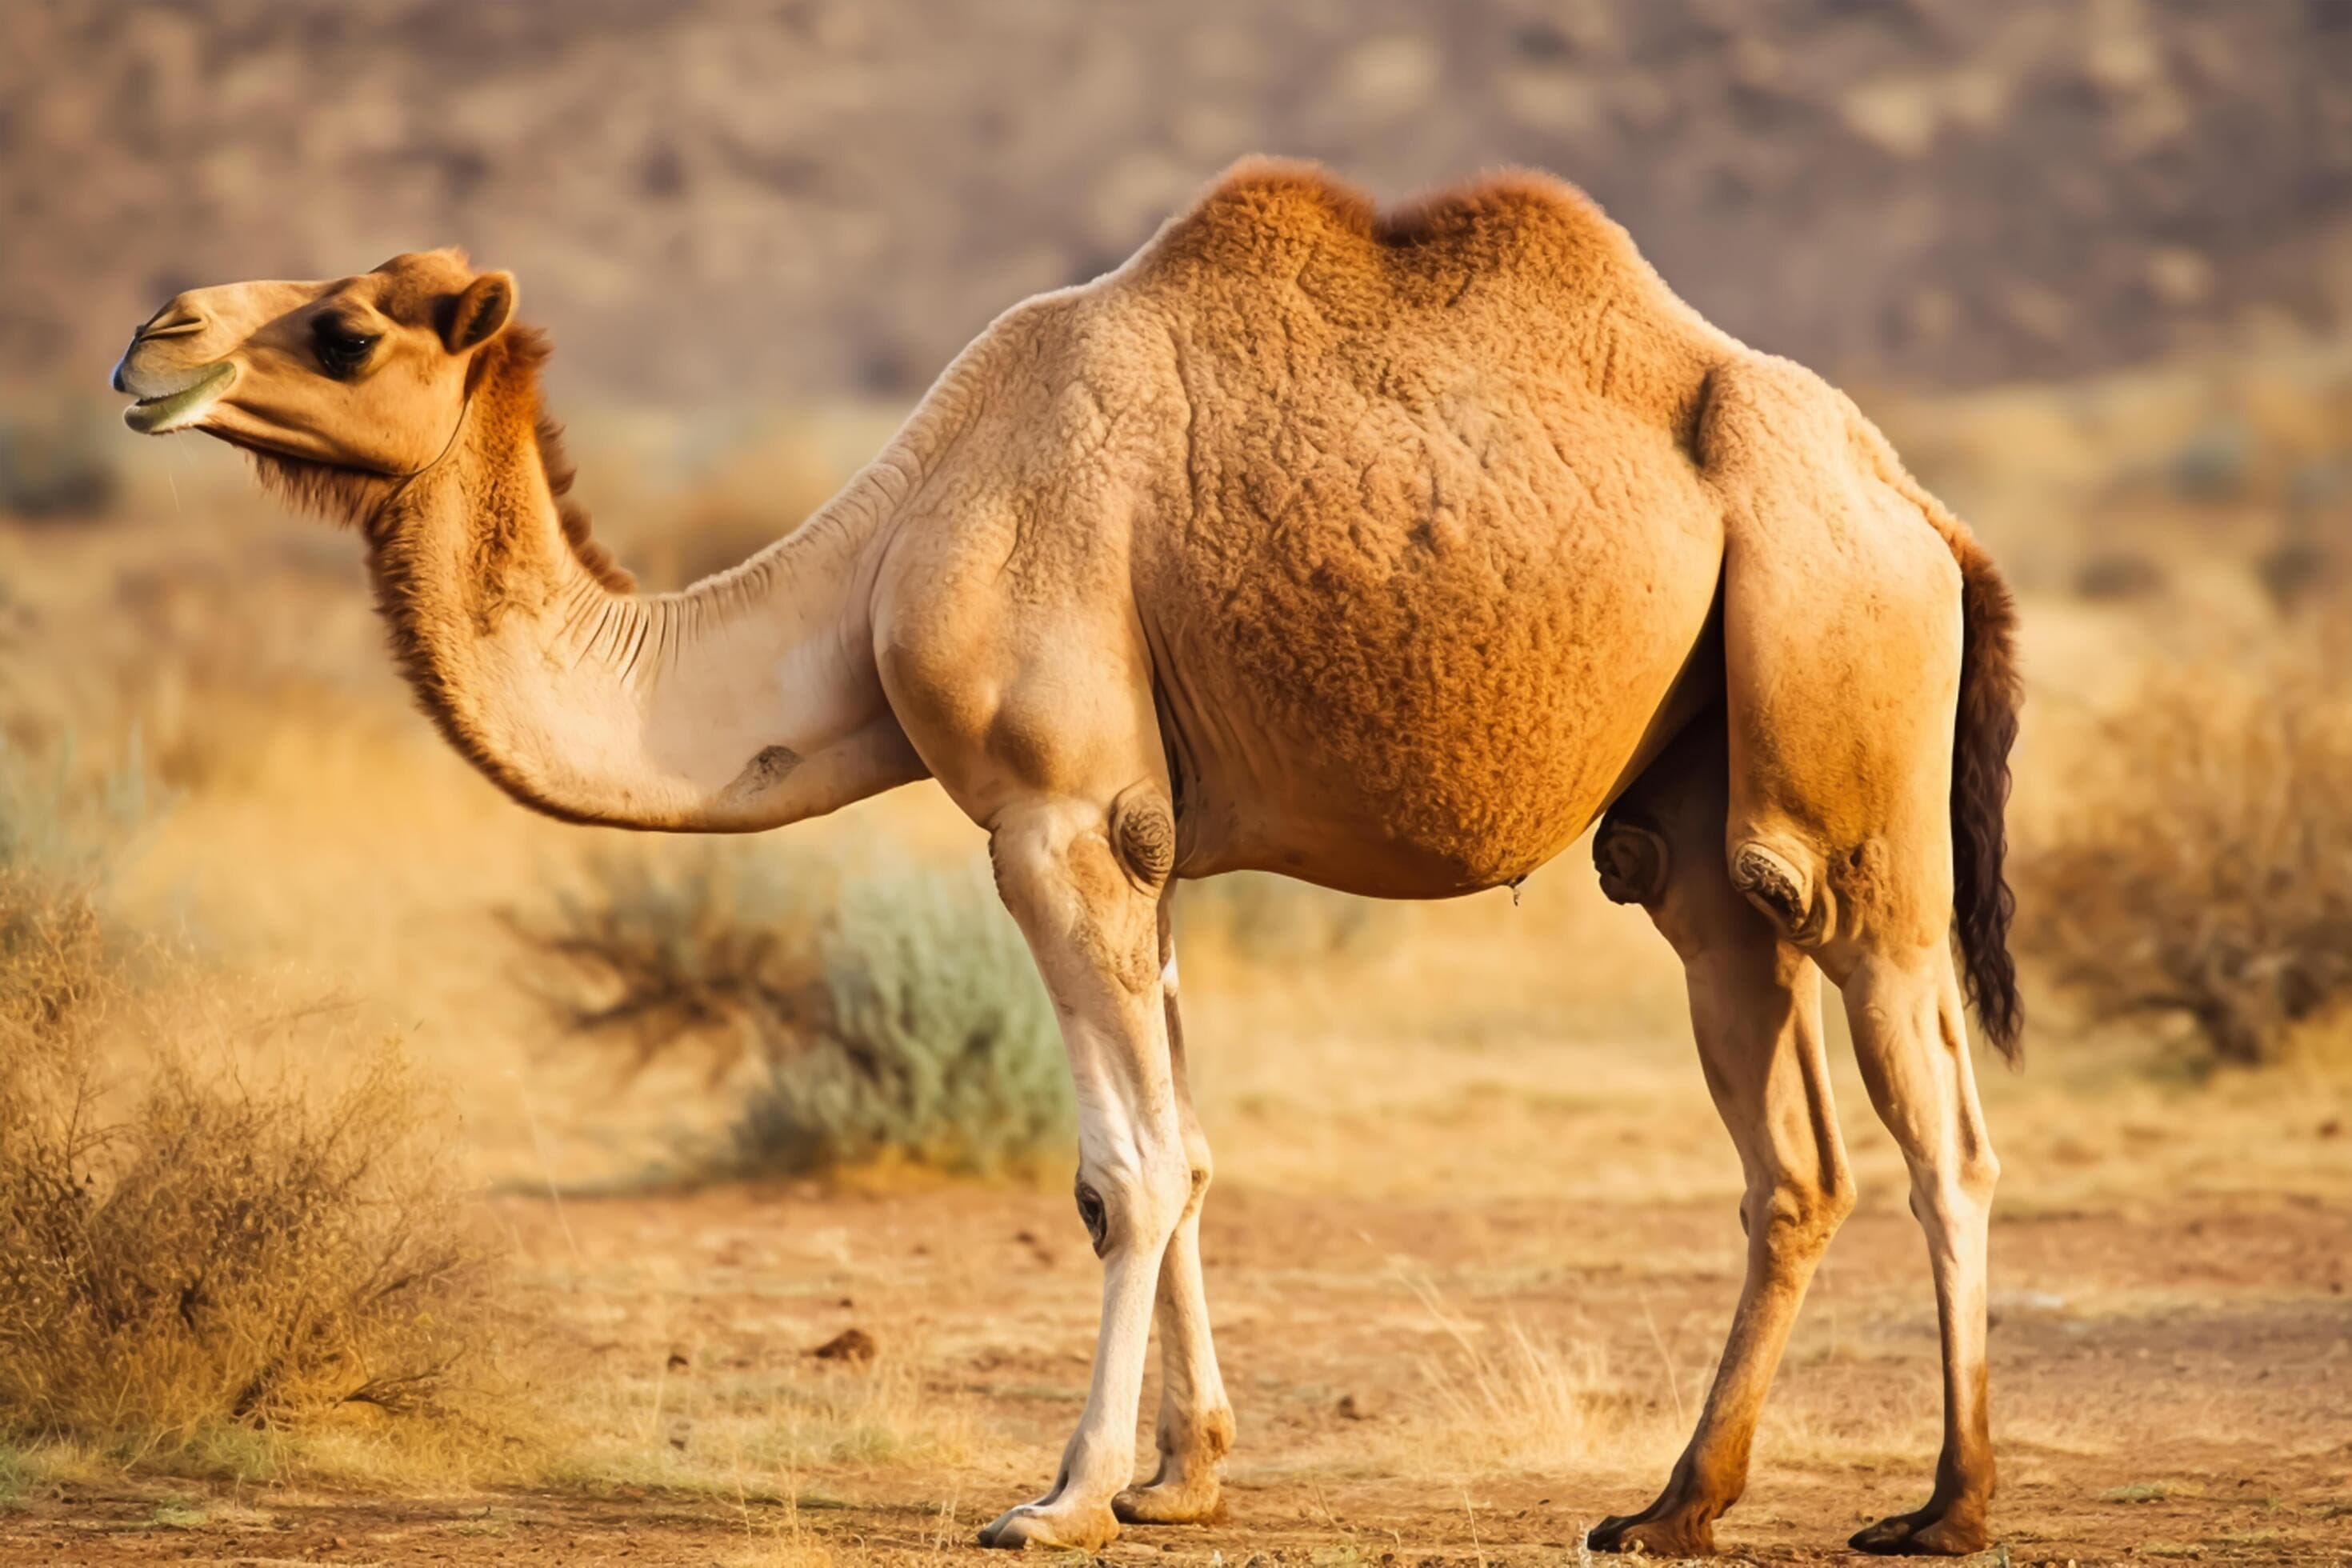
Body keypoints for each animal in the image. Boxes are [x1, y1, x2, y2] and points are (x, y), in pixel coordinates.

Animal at [111, 159, 2022, 1557]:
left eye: (348, 331)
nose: (150, 336)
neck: (881, 563)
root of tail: (1929, 512)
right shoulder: (1145, 843)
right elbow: (1190, 1143)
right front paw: (1187, 1474)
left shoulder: (1051, 815)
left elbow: (1125, 1169)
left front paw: (1063, 1494)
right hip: (1699, 836)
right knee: (1790, 1145)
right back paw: (1670, 1506)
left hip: (1848, 735)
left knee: (1940, 1120)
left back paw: (1944, 1503)